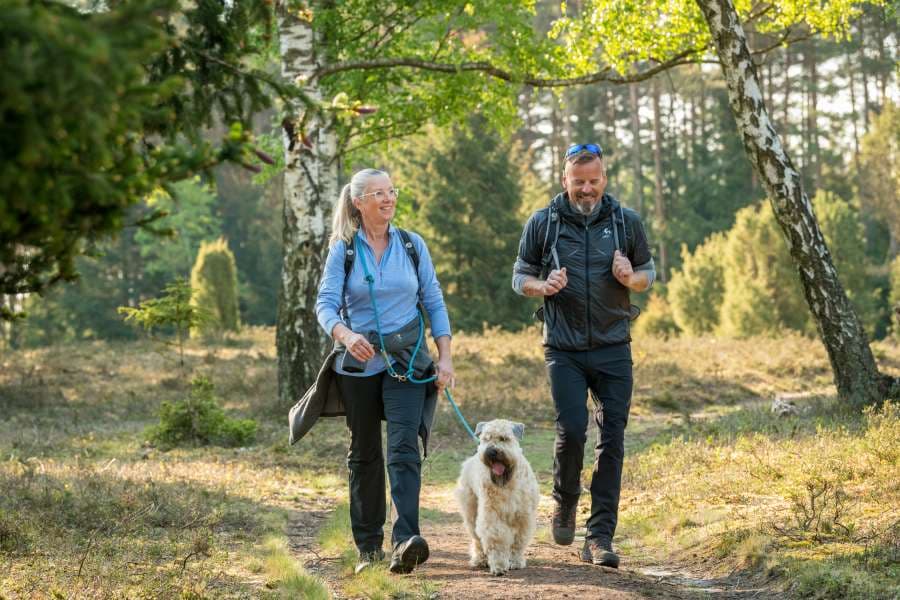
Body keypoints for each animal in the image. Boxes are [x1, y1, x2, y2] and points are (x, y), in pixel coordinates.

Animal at [454, 420, 536, 576]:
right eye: (486, 438)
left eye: (503, 438)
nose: (491, 452)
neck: (508, 483)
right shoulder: (492, 516)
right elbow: (496, 540)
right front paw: (498, 565)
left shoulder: (523, 517)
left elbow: (518, 542)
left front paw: (515, 561)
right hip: (471, 513)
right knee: (477, 540)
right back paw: (480, 560)